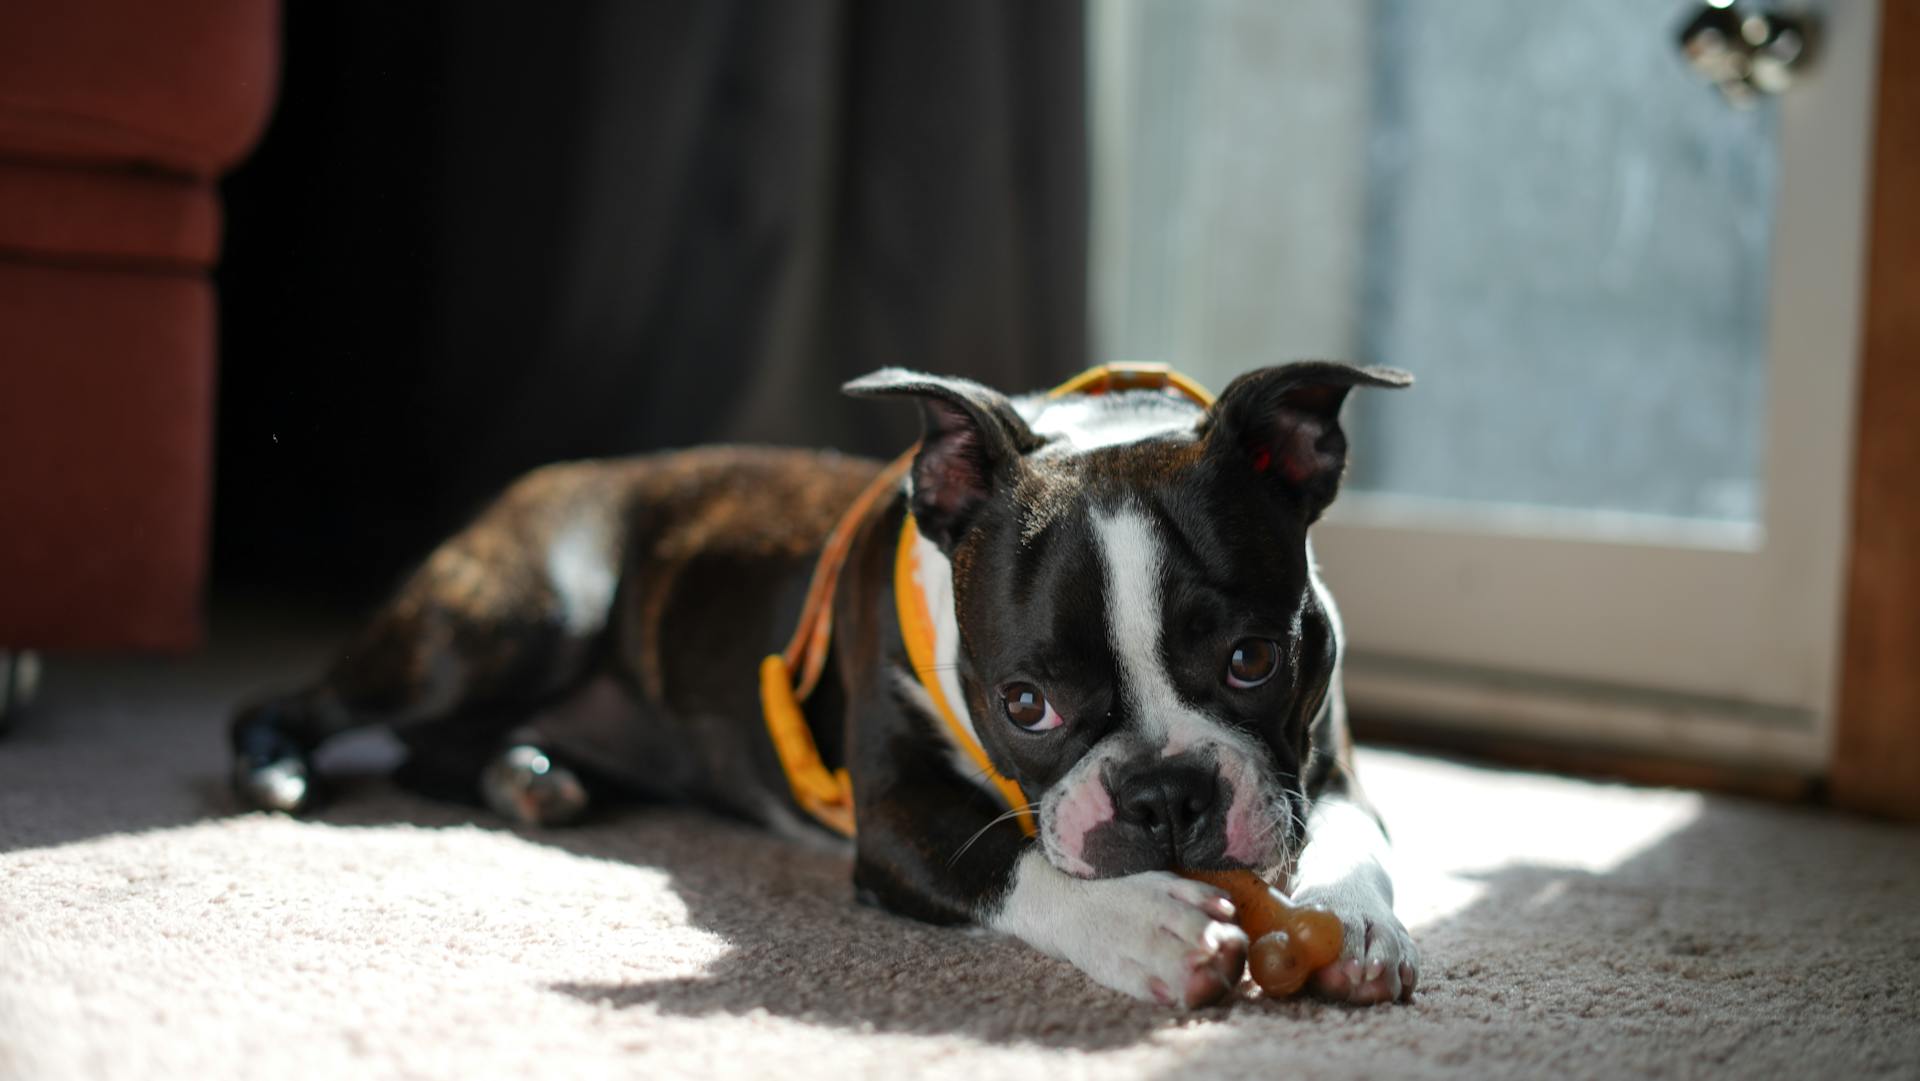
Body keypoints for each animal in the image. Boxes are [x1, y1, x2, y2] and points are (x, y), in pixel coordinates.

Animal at [232, 360, 1420, 1006]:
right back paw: (281, 771)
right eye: (1024, 705)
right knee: (303, 705)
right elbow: (1010, 861)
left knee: (437, 756)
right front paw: (1146, 926)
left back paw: (529, 774)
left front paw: (1356, 925)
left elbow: (1354, 840)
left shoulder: (1322, 764)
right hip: (519, 618)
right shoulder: (896, 817)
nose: (1166, 795)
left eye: (1253, 659)